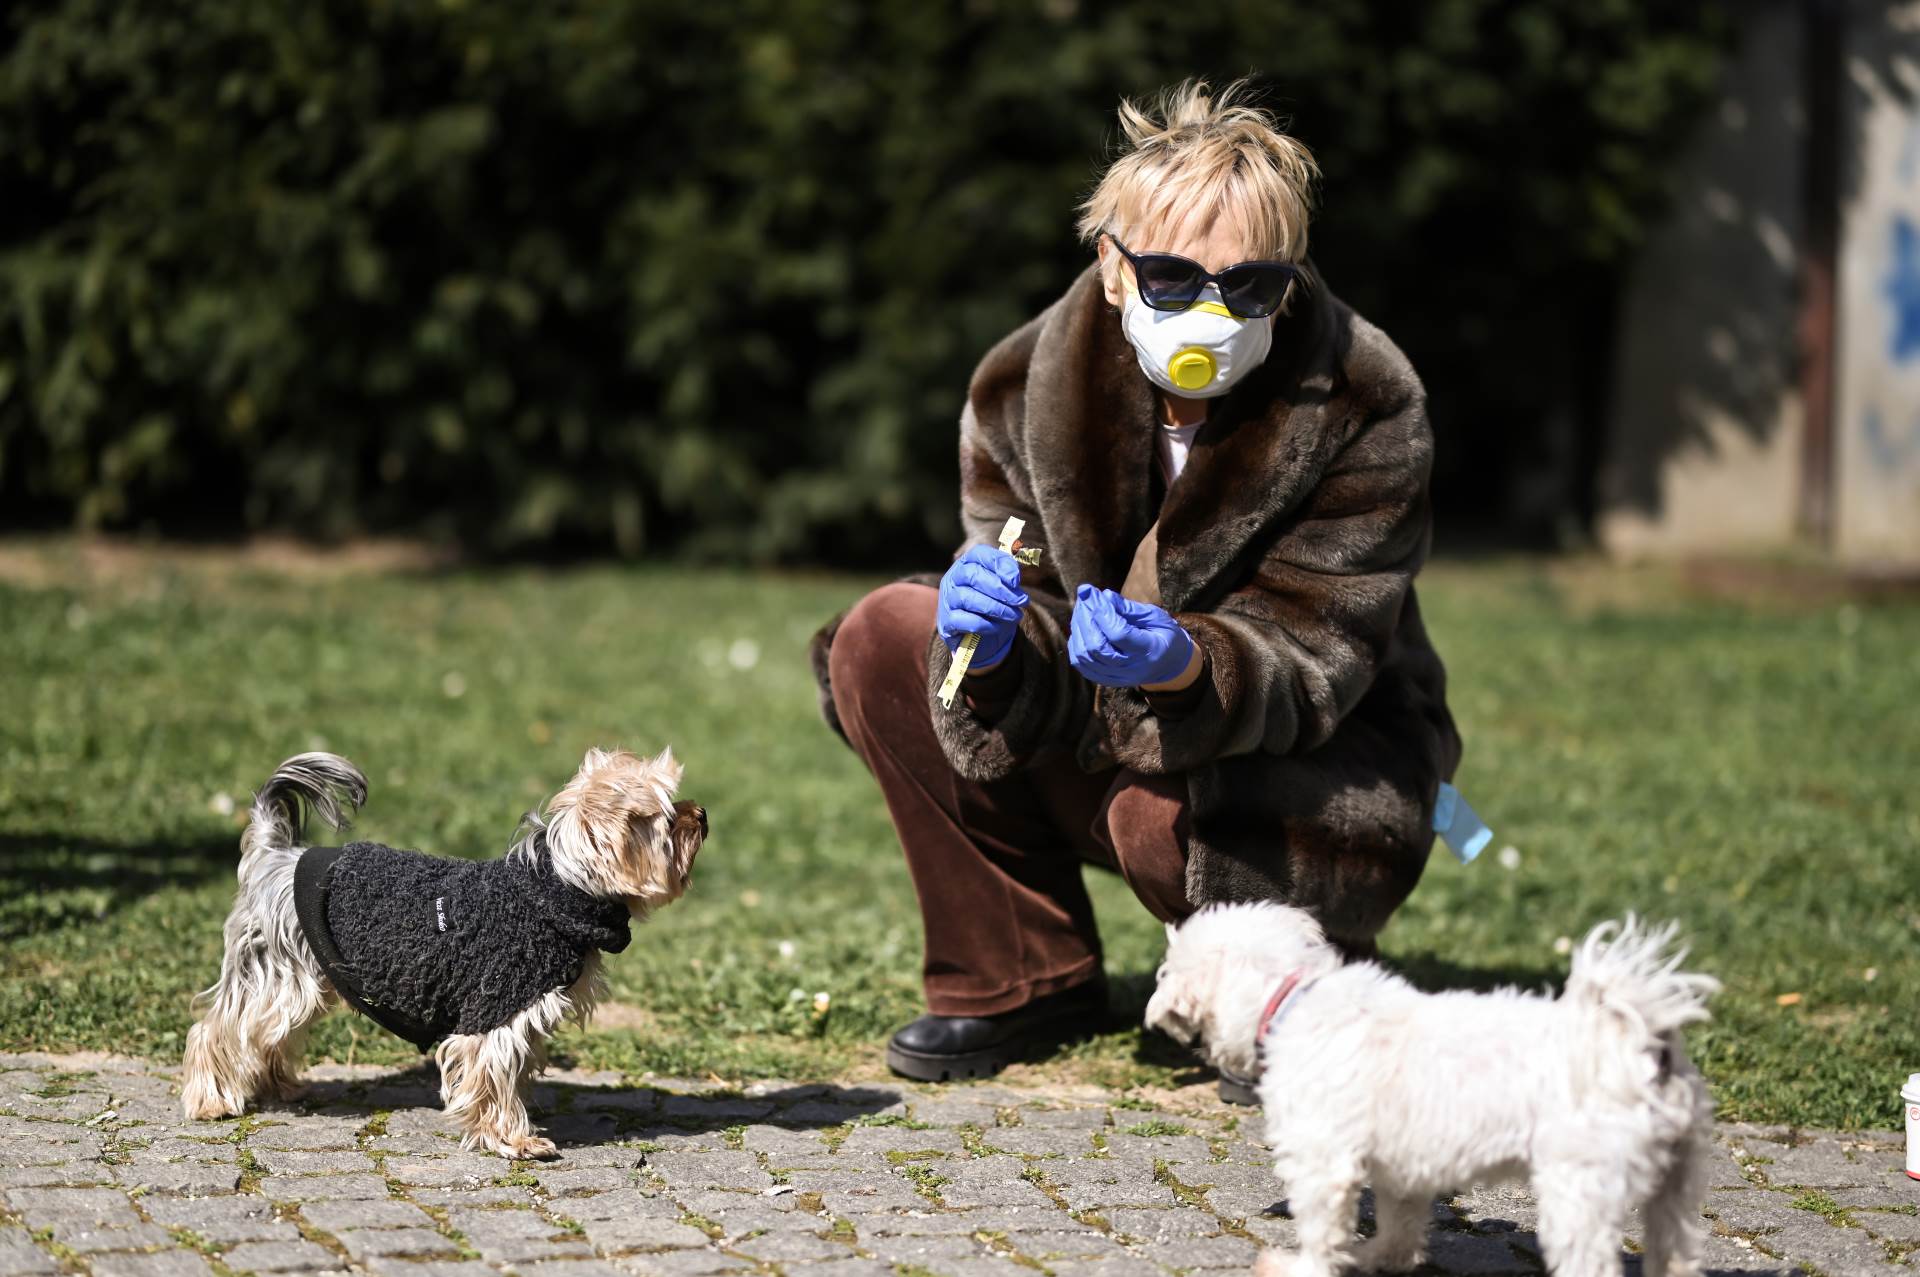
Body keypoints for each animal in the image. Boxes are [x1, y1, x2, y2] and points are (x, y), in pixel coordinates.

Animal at [1144, 894, 1720, 1275]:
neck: (1294, 996)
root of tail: (1640, 1038)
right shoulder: (1405, 1165)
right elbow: (1399, 1223)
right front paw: (1380, 1257)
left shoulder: (1322, 1158)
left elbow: (1321, 1226)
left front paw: (1301, 1267)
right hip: (1676, 1185)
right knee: (1676, 1254)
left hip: (1581, 1186)